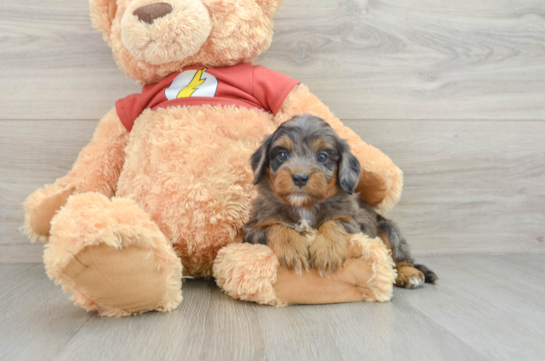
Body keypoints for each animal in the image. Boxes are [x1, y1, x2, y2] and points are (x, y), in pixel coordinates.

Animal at [244, 114, 436, 286]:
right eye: (283, 154)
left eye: (322, 157)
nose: (299, 178)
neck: (305, 206)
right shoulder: (253, 229)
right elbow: (277, 227)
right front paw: (292, 248)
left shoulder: (354, 223)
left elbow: (334, 222)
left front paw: (327, 252)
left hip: (389, 230)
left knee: (399, 256)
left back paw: (409, 273)